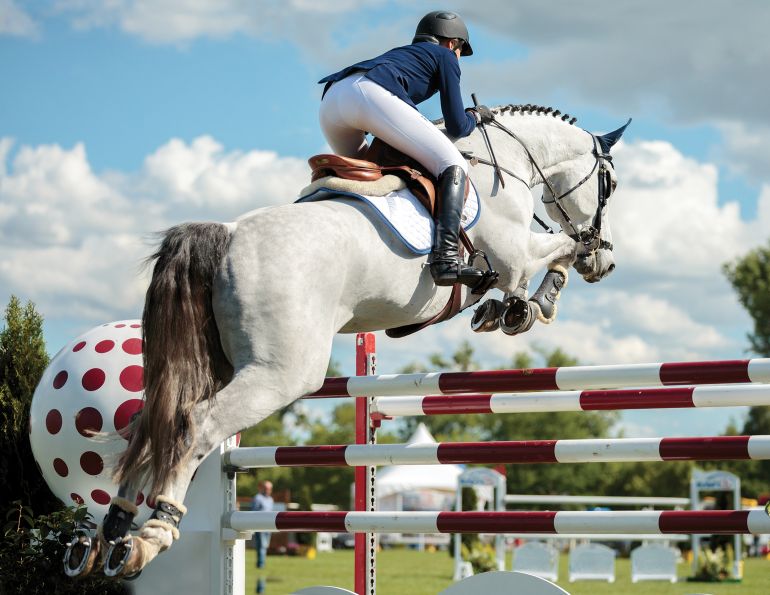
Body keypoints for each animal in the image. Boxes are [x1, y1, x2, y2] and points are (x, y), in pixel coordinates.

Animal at [64, 104, 629, 577]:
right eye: (610, 182)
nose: (607, 261)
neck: (504, 162)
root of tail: (225, 234)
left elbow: (548, 256)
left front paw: (509, 307)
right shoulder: (515, 254)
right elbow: (558, 249)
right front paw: (530, 305)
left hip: (220, 365)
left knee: (150, 425)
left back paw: (110, 537)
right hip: (280, 374)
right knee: (194, 425)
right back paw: (153, 536)